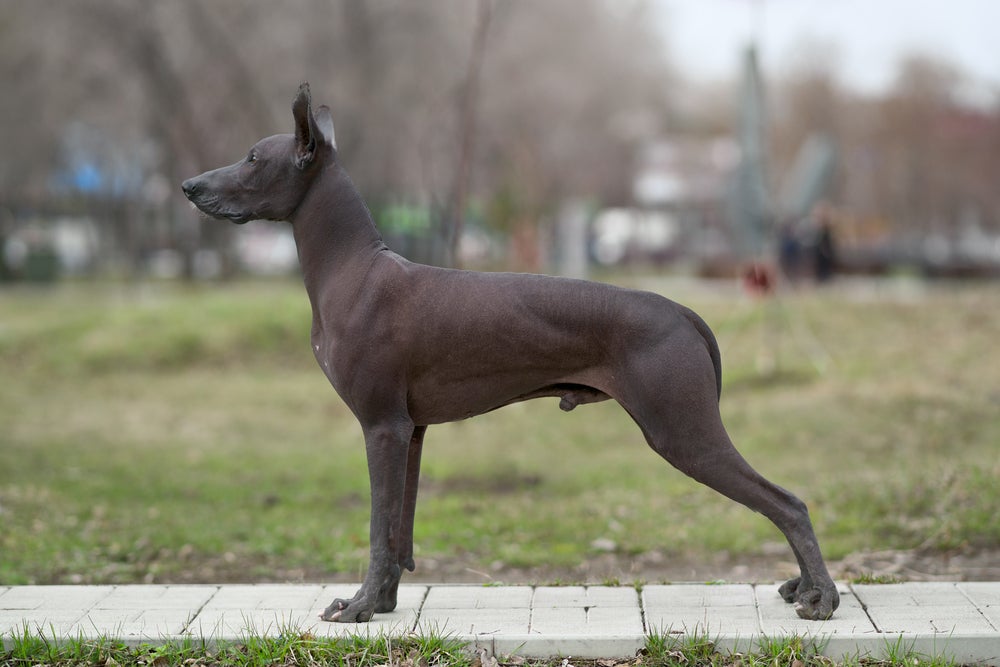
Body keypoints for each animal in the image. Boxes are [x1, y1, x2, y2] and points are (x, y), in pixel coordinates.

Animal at [184, 85, 840, 628]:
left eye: (251, 158)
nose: (190, 187)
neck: (352, 268)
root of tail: (682, 310)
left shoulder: (381, 427)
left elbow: (376, 529)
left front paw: (361, 607)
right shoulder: (410, 431)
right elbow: (398, 533)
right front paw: (384, 603)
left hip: (683, 433)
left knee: (789, 503)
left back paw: (821, 597)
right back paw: (805, 588)